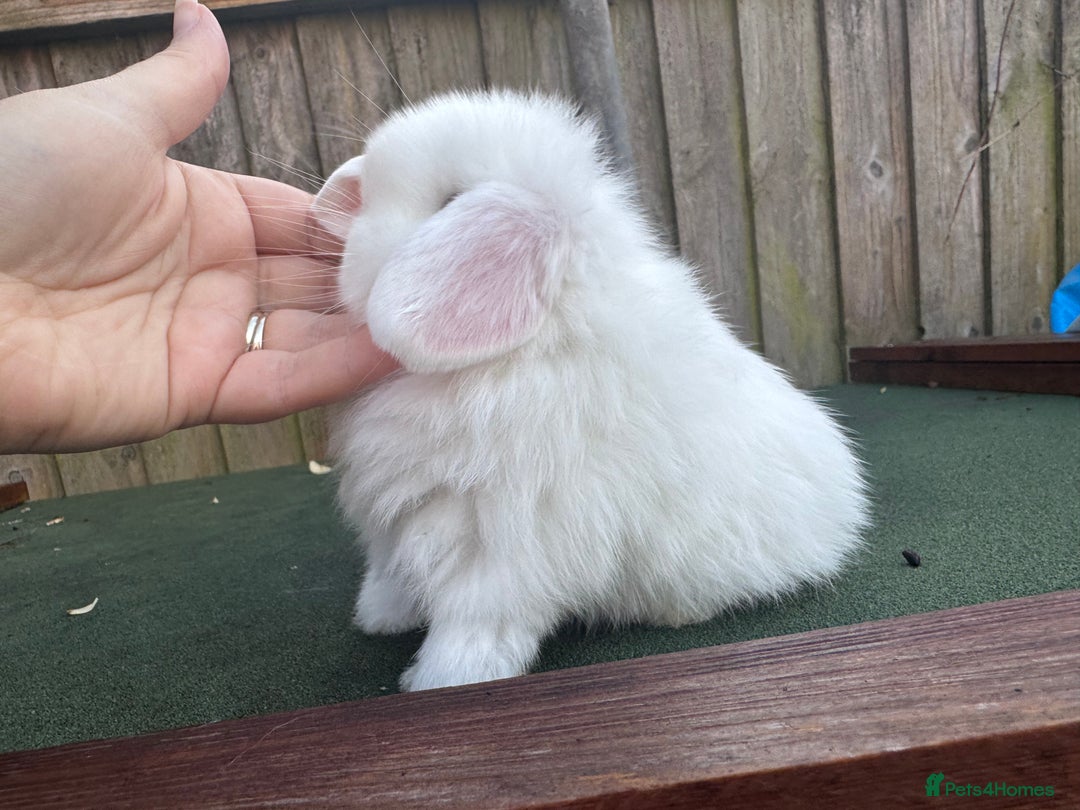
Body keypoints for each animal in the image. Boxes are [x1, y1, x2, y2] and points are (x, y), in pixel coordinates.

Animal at [311, 89, 869, 692]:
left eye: (450, 202)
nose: (350, 248)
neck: (529, 349)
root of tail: (846, 509)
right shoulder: (397, 525)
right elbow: (393, 575)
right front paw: (379, 619)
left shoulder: (504, 545)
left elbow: (475, 622)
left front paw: (441, 681)